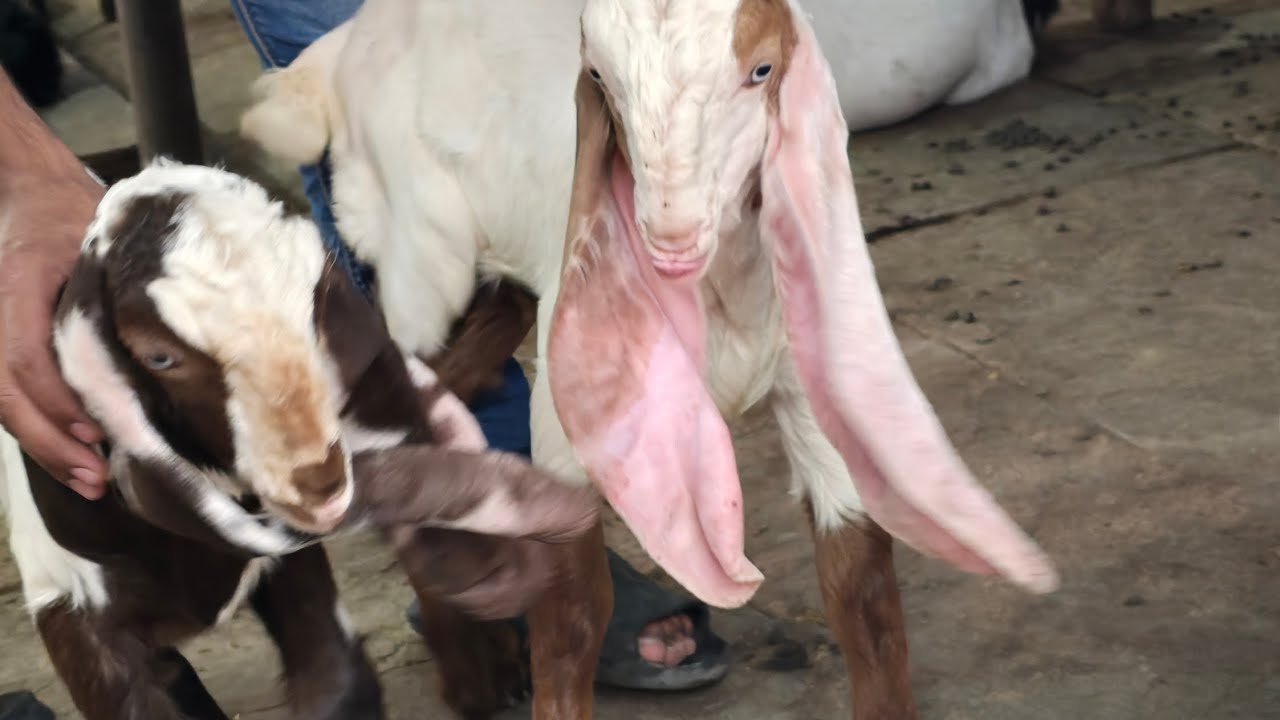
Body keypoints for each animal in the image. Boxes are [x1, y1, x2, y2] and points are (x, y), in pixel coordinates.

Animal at [240, 1, 1062, 717]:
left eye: (761, 70)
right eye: (600, 79)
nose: (667, 231)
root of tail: (340, 42)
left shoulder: (811, 381)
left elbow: (864, 596)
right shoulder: (574, 419)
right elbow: (571, 619)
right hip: (422, 258)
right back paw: (468, 668)